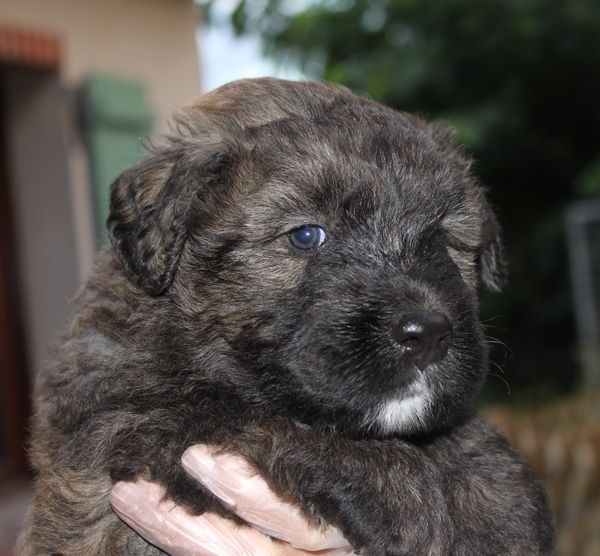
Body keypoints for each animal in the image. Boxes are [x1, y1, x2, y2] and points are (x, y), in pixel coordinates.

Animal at [17, 79, 552, 556]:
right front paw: (412, 499)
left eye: (442, 239)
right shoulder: (130, 423)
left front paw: (501, 503)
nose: (428, 334)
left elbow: (463, 437)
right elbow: (278, 427)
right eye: (306, 235)